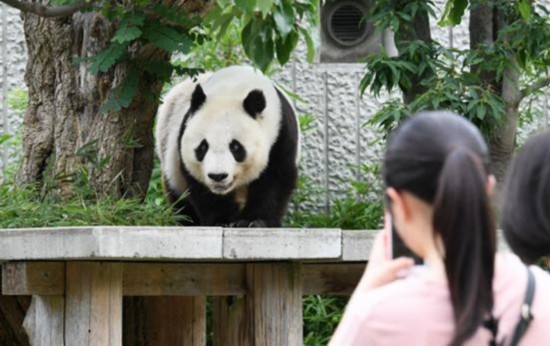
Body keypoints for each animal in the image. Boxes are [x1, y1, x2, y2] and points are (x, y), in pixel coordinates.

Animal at [155, 65, 302, 227]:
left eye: (235, 147)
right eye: (203, 147)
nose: (217, 176)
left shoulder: (280, 133)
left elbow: (274, 179)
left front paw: (255, 221)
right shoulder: (183, 138)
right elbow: (201, 187)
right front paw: (222, 221)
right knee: (180, 201)